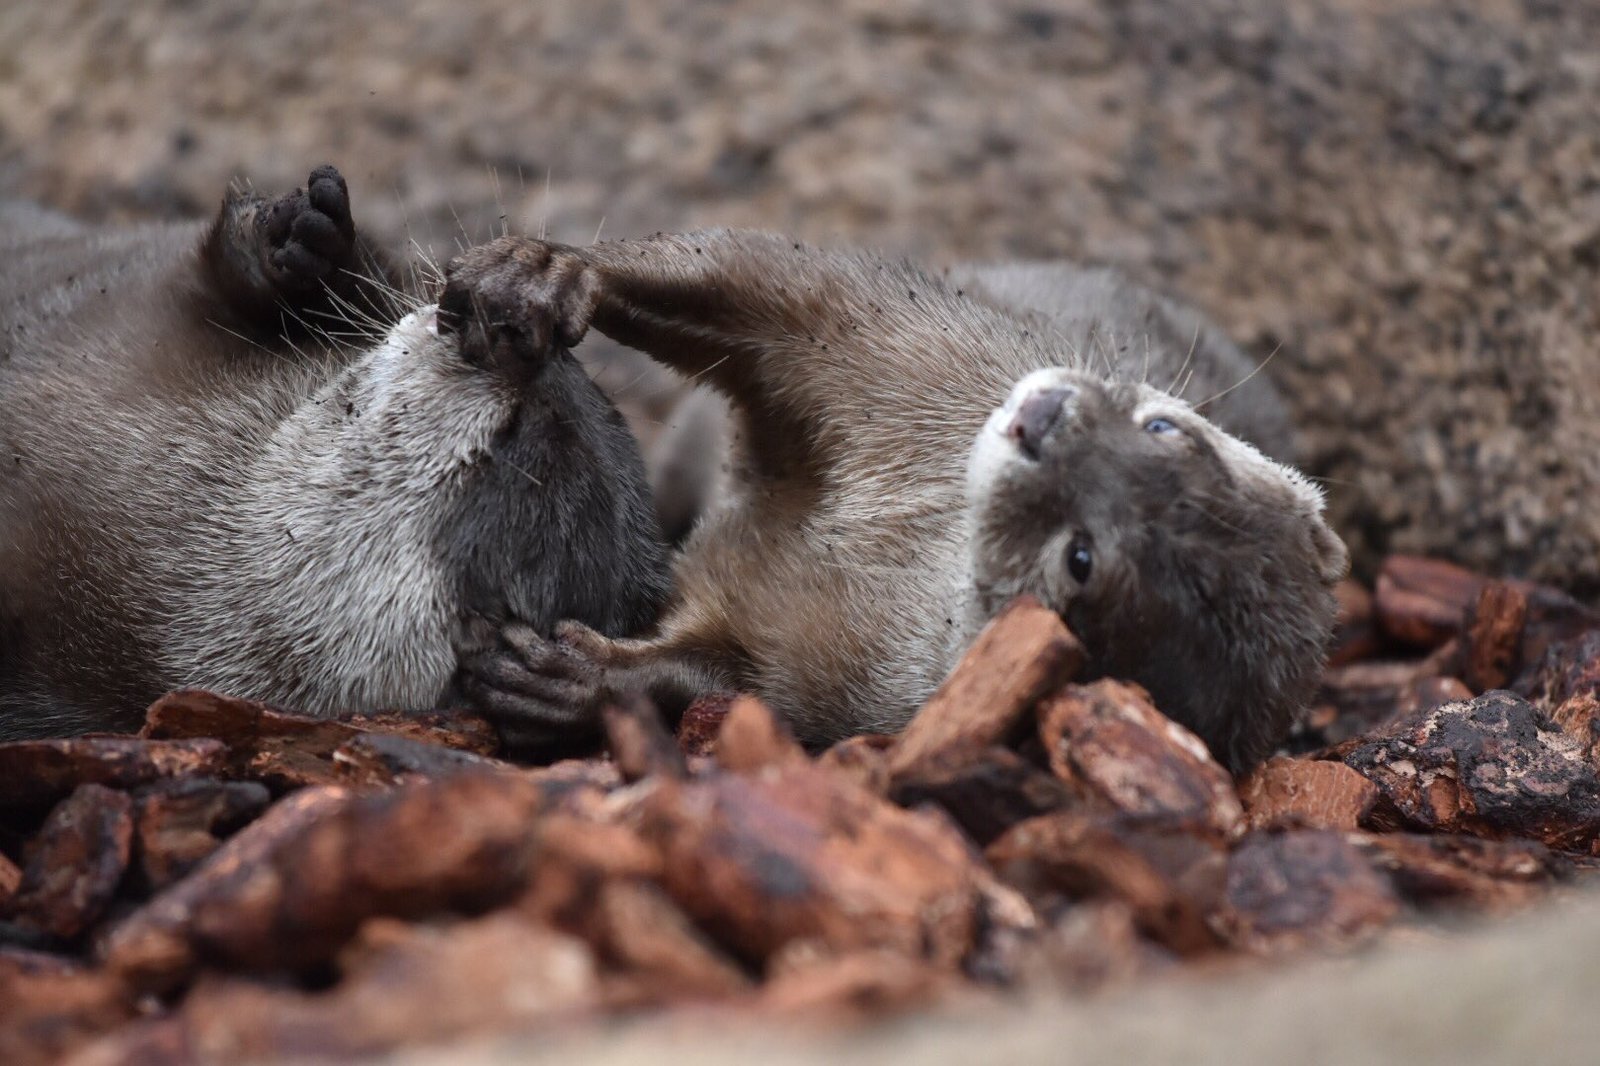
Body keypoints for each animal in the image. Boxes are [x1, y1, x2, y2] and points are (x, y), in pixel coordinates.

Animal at [460, 232, 1350, 768]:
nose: (1047, 418)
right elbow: (772, 285)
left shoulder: (841, 687)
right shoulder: (910, 347)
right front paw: (550, 274)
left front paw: (579, 679)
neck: (875, 533)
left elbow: (731, 682)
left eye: (1082, 557)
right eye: (1166, 428)